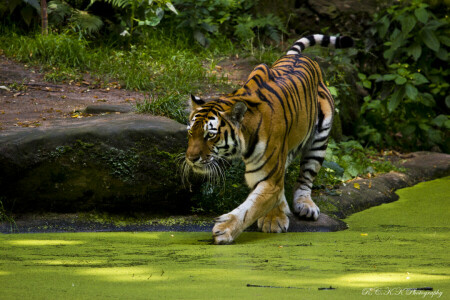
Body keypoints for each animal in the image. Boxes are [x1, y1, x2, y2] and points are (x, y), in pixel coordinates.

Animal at [185, 34, 354, 244]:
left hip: (319, 140)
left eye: (210, 135)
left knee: (306, 176)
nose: (191, 158)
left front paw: (225, 229)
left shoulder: (268, 176)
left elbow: (250, 208)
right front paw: (274, 217)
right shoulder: (270, 171)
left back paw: (305, 205)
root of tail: (298, 57)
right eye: (191, 133)